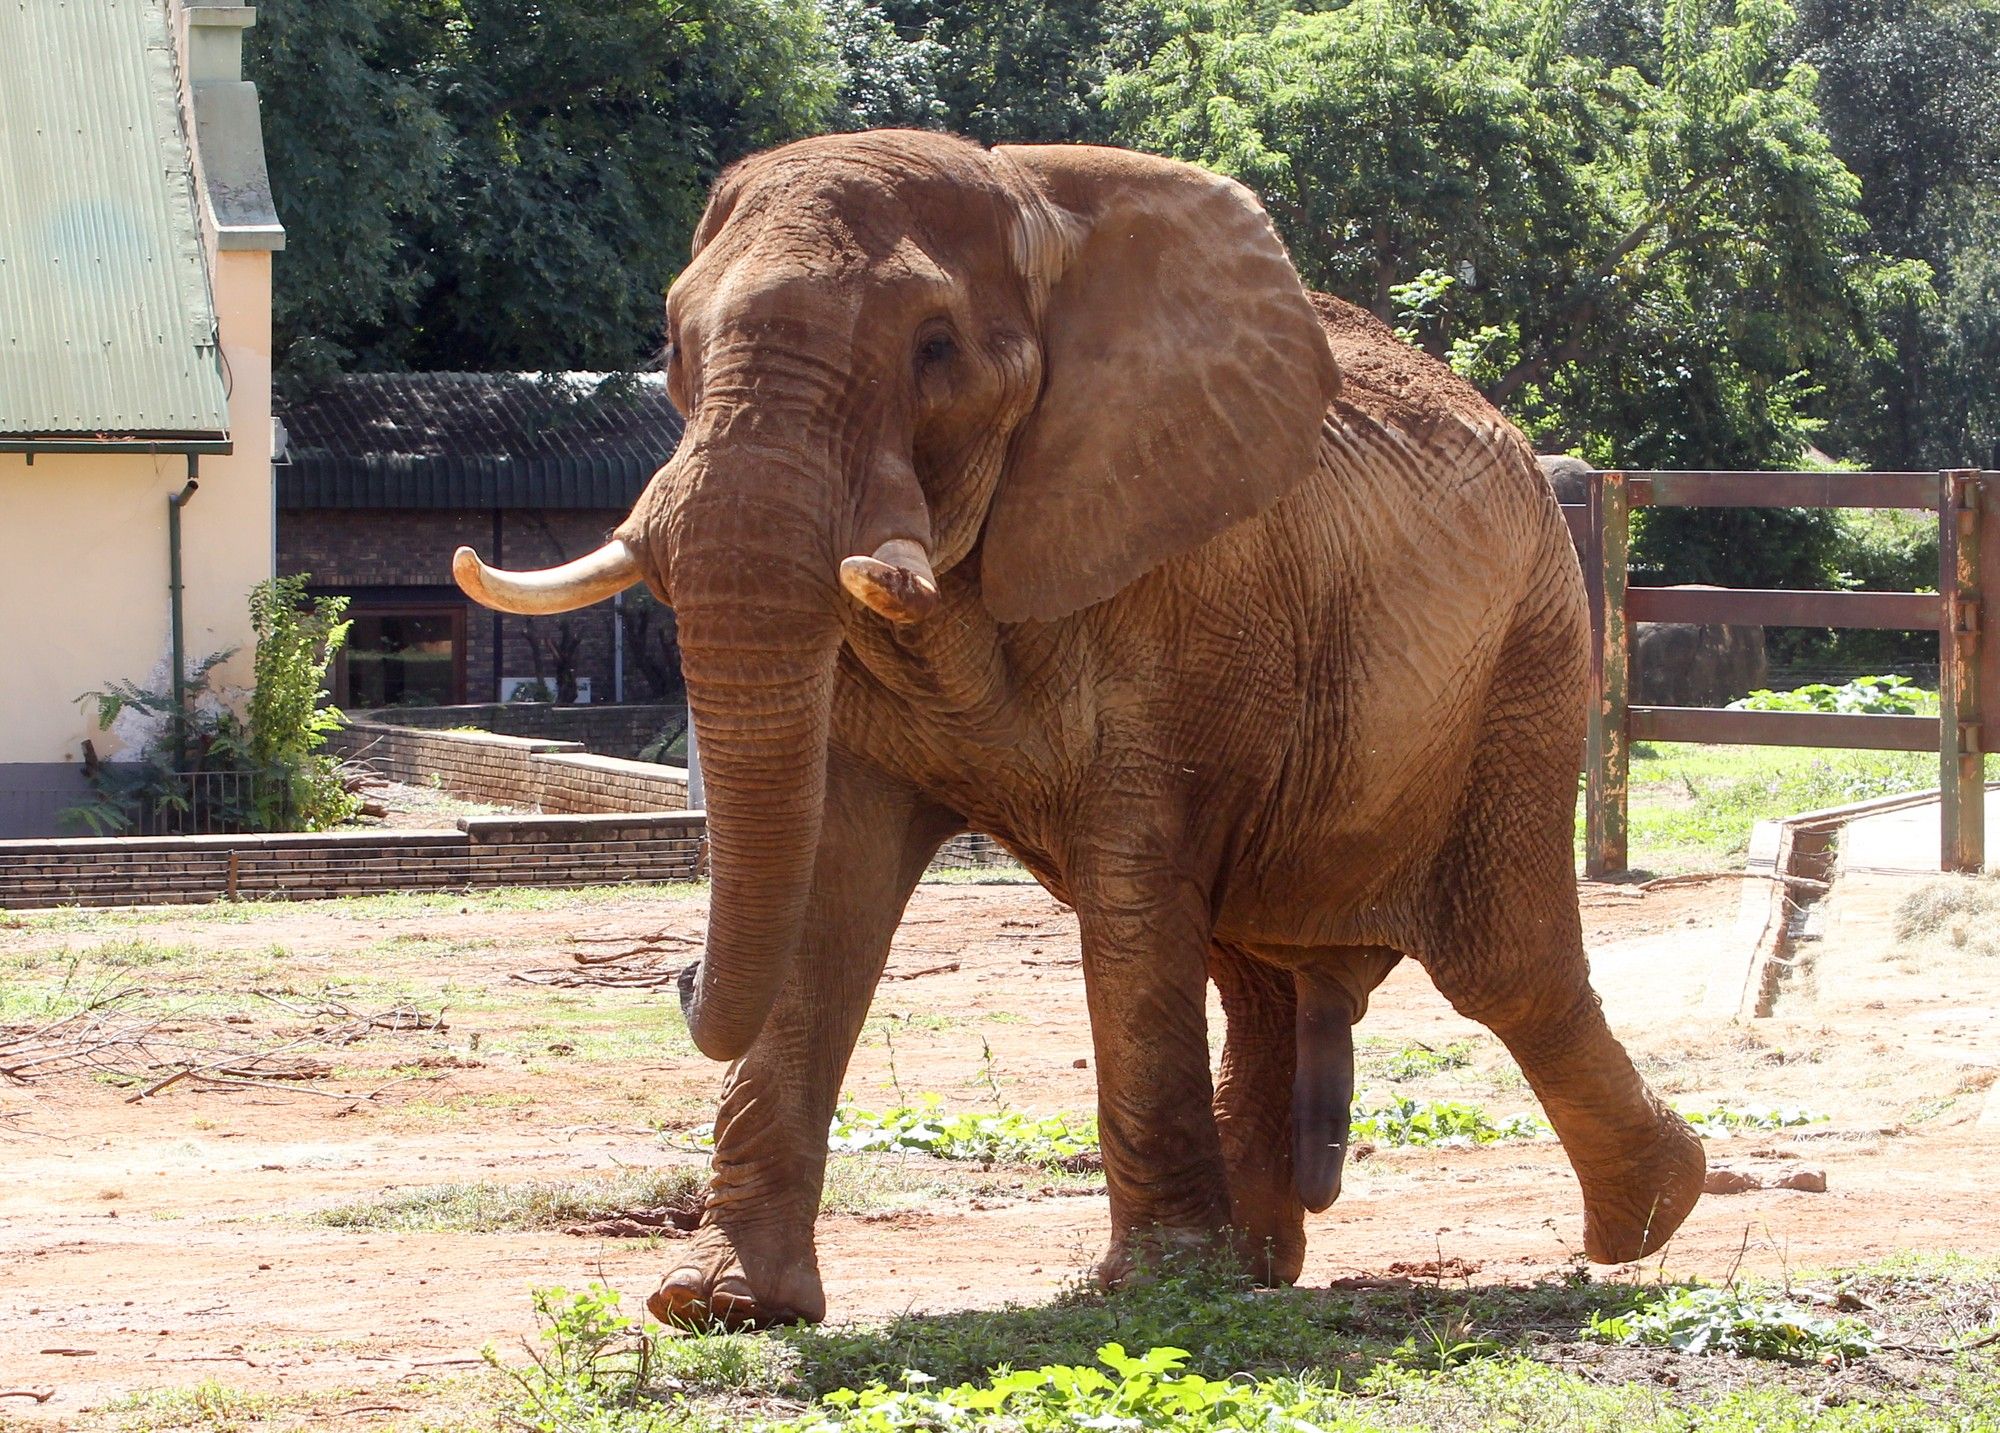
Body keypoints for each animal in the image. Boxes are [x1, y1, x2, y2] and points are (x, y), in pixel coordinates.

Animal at [454, 131, 1705, 1327]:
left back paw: (1650, 1212)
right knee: (1256, 966)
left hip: (1528, 648)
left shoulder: (1184, 583)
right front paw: (714, 1304)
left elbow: (1131, 886)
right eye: (673, 347)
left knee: (1503, 964)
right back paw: (1265, 1260)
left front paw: (1152, 1289)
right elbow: (826, 880)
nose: (672, 975)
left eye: (935, 348)